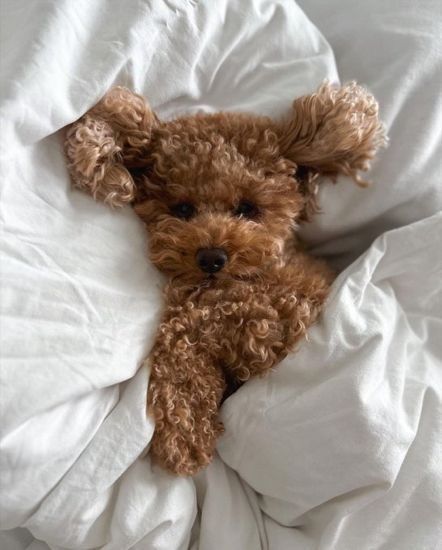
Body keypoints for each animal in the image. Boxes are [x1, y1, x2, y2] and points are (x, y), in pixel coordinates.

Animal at [64, 84, 386, 476]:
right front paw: (186, 436)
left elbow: (195, 330)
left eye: (247, 209)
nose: (211, 257)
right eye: (182, 209)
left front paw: (185, 438)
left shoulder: (280, 311)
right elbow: (181, 351)